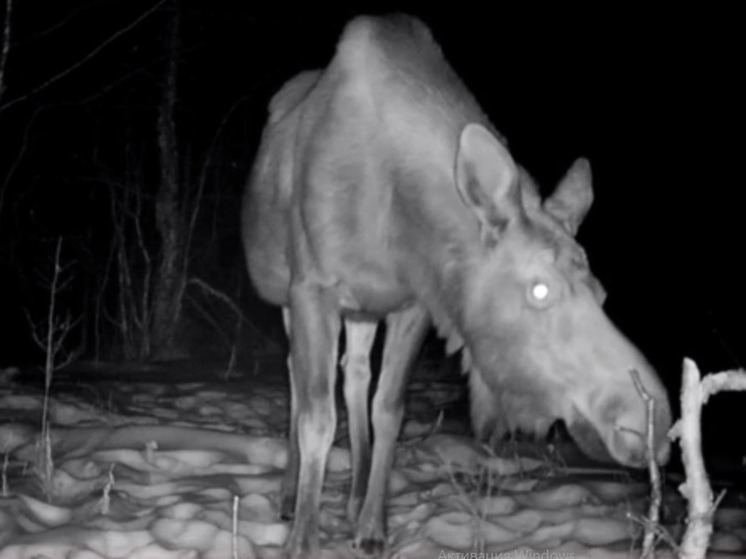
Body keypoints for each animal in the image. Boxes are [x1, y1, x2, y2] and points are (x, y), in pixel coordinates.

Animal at [241, 14, 672, 559]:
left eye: (602, 293)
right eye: (539, 290)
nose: (649, 424)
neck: (399, 220)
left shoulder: (411, 304)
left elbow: (389, 411)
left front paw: (373, 526)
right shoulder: (312, 290)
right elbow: (317, 419)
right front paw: (302, 541)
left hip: (362, 311)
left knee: (356, 377)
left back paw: (355, 497)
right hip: (292, 297)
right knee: (298, 383)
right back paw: (287, 495)